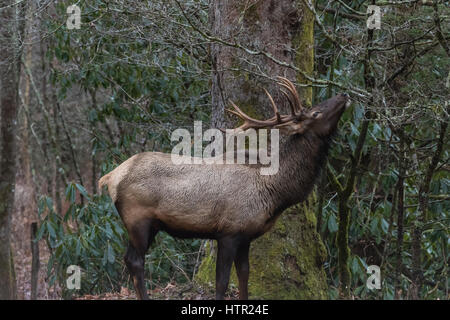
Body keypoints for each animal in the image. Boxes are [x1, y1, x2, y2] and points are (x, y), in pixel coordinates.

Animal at [98, 77, 352, 300]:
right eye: (315, 113)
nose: (343, 94)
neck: (274, 191)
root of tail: (110, 177)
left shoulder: (245, 235)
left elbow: (244, 275)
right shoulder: (228, 231)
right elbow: (222, 280)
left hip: (151, 225)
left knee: (131, 259)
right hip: (138, 220)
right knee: (134, 260)